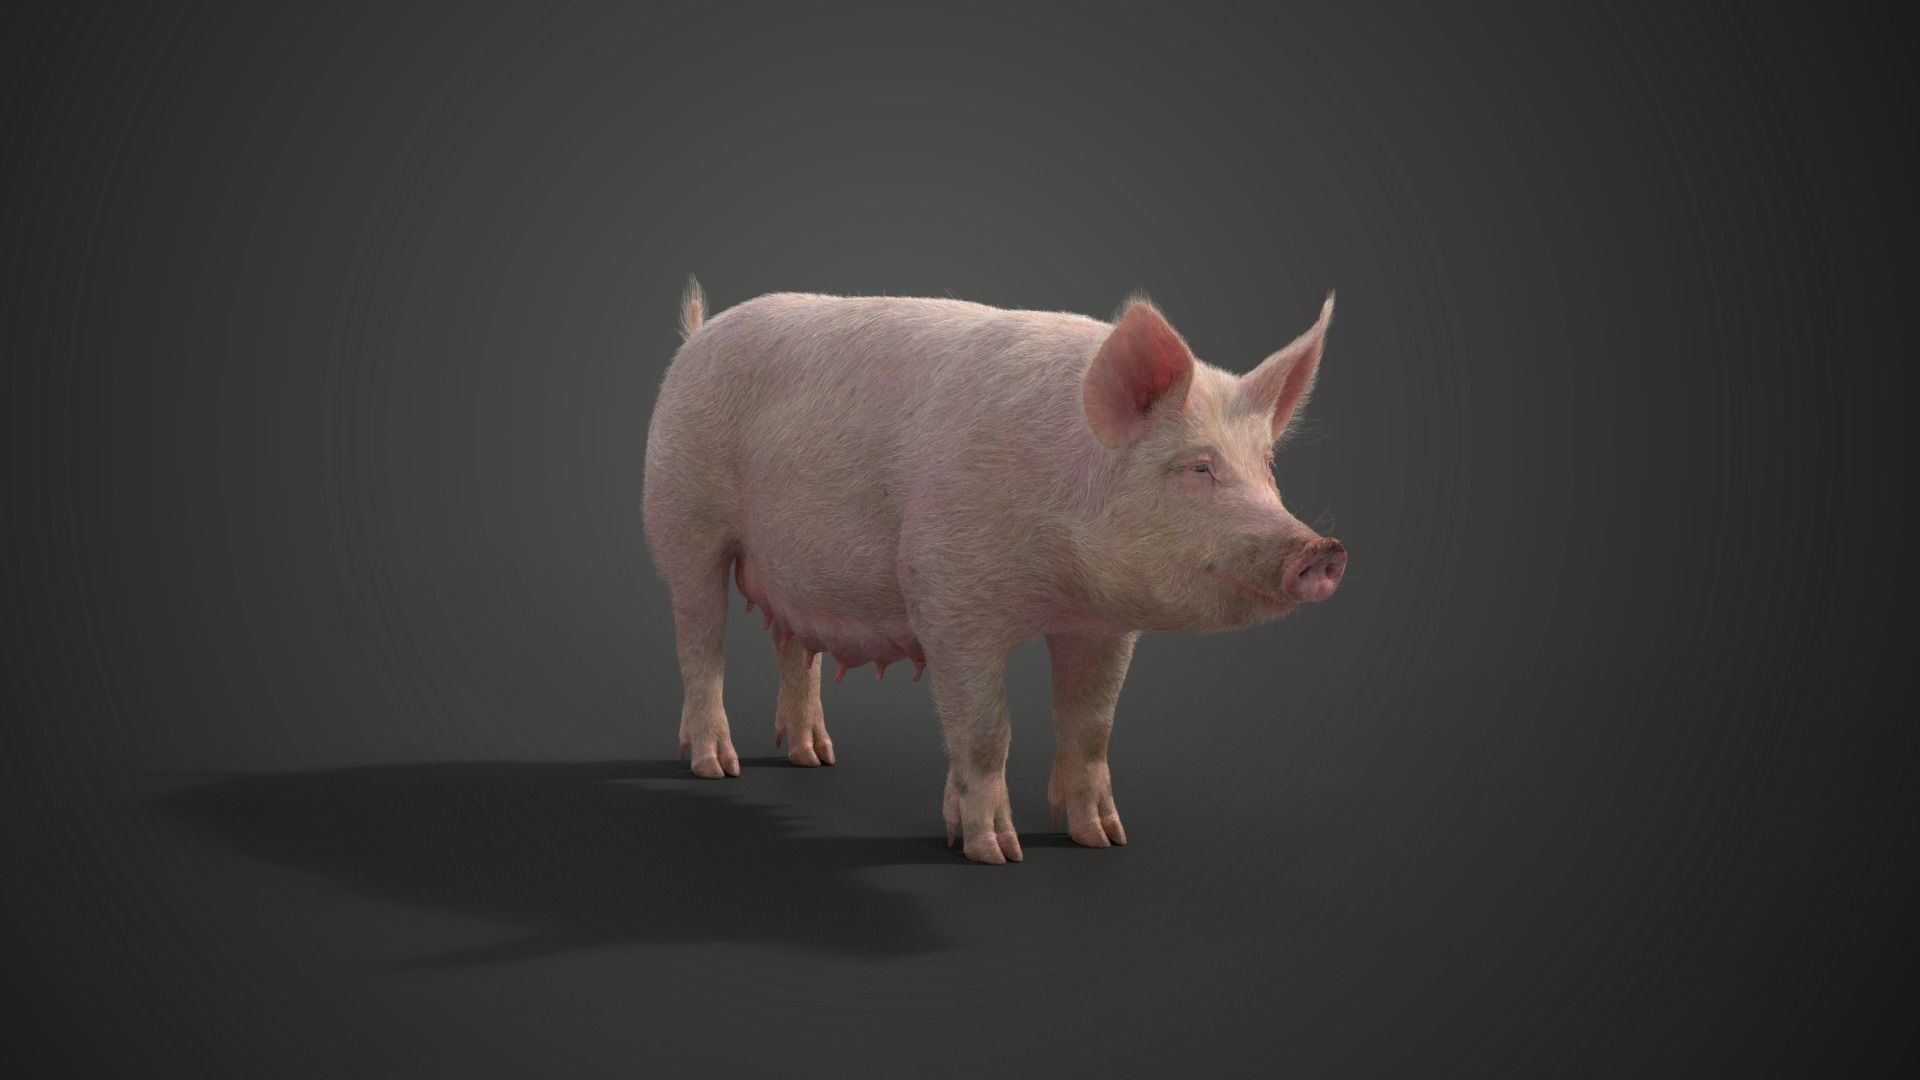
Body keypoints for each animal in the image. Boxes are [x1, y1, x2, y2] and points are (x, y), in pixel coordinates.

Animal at [642, 277, 1347, 864]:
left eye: (1268, 465)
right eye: (1198, 467)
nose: (1323, 550)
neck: (1057, 579)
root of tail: (697, 336)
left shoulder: (1103, 625)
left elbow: (1092, 726)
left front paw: (1105, 839)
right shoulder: (949, 599)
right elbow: (985, 730)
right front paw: (996, 853)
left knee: (793, 644)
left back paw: (814, 758)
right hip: (681, 517)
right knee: (699, 639)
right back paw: (717, 766)